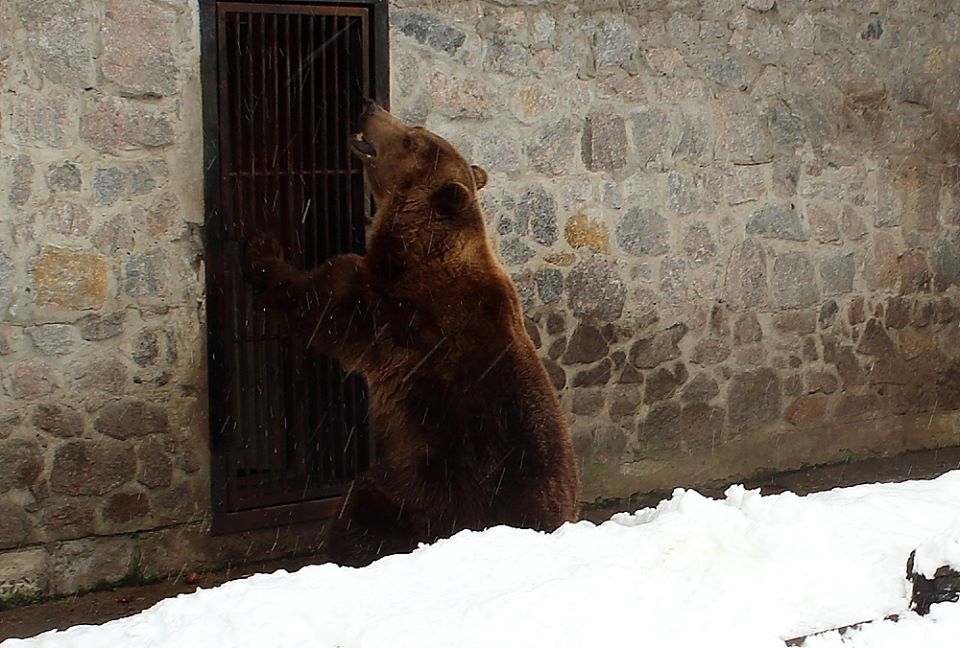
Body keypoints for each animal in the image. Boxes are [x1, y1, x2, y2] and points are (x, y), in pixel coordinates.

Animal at [244, 101, 580, 568]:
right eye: (415, 128)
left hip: (432, 487)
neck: (415, 248)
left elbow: (317, 302)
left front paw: (260, 248)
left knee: (362, 505)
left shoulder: (392, 312)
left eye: (409, 139)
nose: (369, 108)